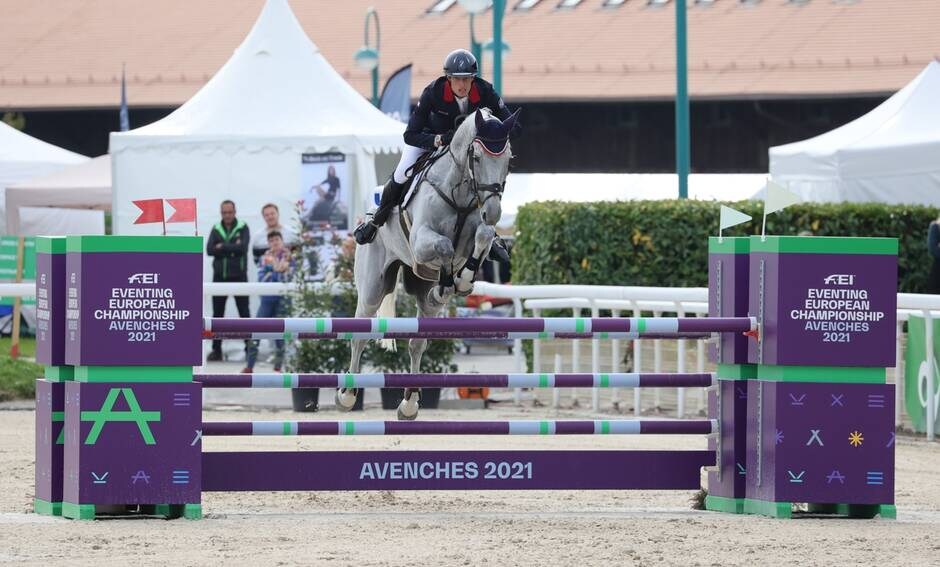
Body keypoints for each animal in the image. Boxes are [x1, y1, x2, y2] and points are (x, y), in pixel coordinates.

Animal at [336, 108, 516, 422]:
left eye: (508, 159)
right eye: (476, 158)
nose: (493, 212)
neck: (461, 193)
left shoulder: (478, 231)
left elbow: (482, 237)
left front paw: (462, 280)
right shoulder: (421, 241)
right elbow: (444, 246)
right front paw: (450, 282)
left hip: (421, 293)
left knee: (417, 341)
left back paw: (409, 402)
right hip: (371, 289)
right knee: (360, 335)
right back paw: (347, 395)